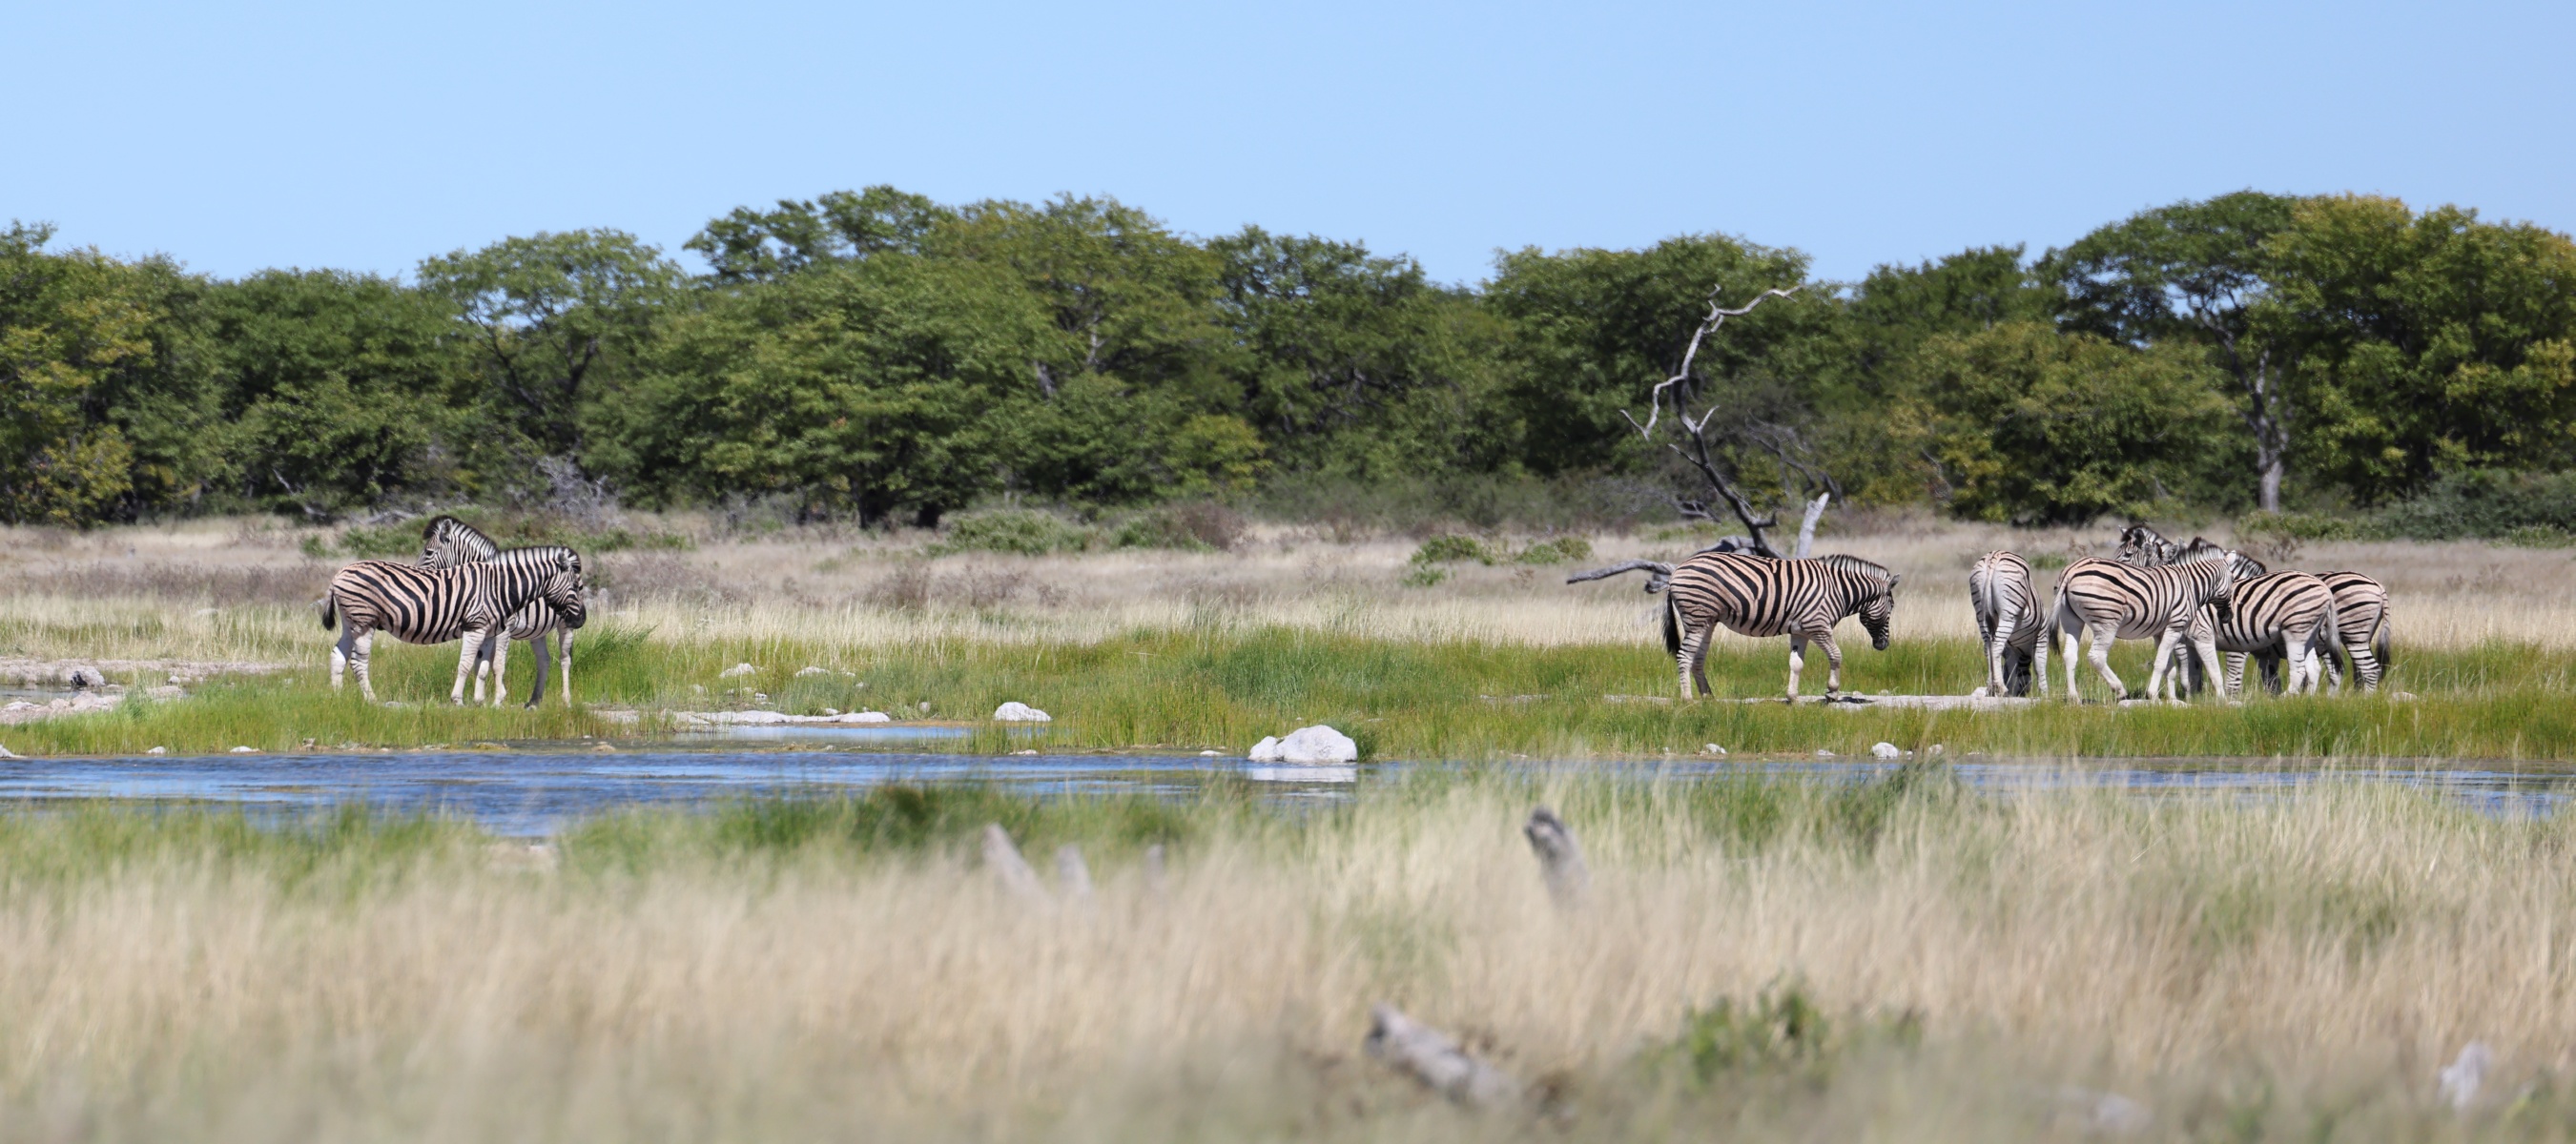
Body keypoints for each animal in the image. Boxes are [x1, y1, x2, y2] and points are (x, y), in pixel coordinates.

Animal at [321, 554, 587, 705]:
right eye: (576, 586)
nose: (582, 619)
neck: (502, 587)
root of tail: (338, 574)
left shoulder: (489, 630)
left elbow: (482, 667)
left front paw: (480, 703)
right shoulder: (475, 626)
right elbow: (467, 665)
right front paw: (459, 700)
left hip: (350, 622)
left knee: (338, 656)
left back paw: (337, 700)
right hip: (364, 621)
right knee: (358, 662)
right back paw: (372, 700)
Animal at [419, 515, 584, 707]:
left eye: (429, 552)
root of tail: (568, 553)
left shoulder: (504, 629)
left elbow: (497, 664)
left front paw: (497, 700)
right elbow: (482, 664)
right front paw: (481, 699)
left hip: (566, 623)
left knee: (565, 659)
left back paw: (566, 700)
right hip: (538, 631)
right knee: (544, 660)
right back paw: (534, 701)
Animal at [1662, 552, 1898, 701]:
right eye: (1892, 607)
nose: (1883, 645)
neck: (1838, 589)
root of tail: (1676, 571)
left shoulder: (1801, 630)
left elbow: (1796, 663)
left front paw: (1792, 697)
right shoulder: (1817, 625)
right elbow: (1836, 655)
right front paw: (1831, 692)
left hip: (1707, 620)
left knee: (1697, 658)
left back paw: (1707, 697)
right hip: (1697, 617)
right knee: (1684, 655)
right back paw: (1687, 699)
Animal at [1968, 551, 2039, 697]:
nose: (2023, 693)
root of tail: (1993, 557)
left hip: (1980, 611)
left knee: (1987, 647)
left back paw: (1991, 687)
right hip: (2008, 612)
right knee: (1995, 646)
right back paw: (1999, 688)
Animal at [2036, 550, 2234, 702]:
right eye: (2232, 580)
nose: (2228, 617)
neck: (2192, 586)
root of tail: (2072, 570)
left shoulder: (2160, 631)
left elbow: (2169, 667)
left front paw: (2171, 700)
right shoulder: (2175, 626)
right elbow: (2161, 663)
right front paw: (2152, 694)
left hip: (2071, 619)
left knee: (2070, 655)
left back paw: (2074, 697)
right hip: (2108, 621)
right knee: (2096, 656)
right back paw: (2120, 690)